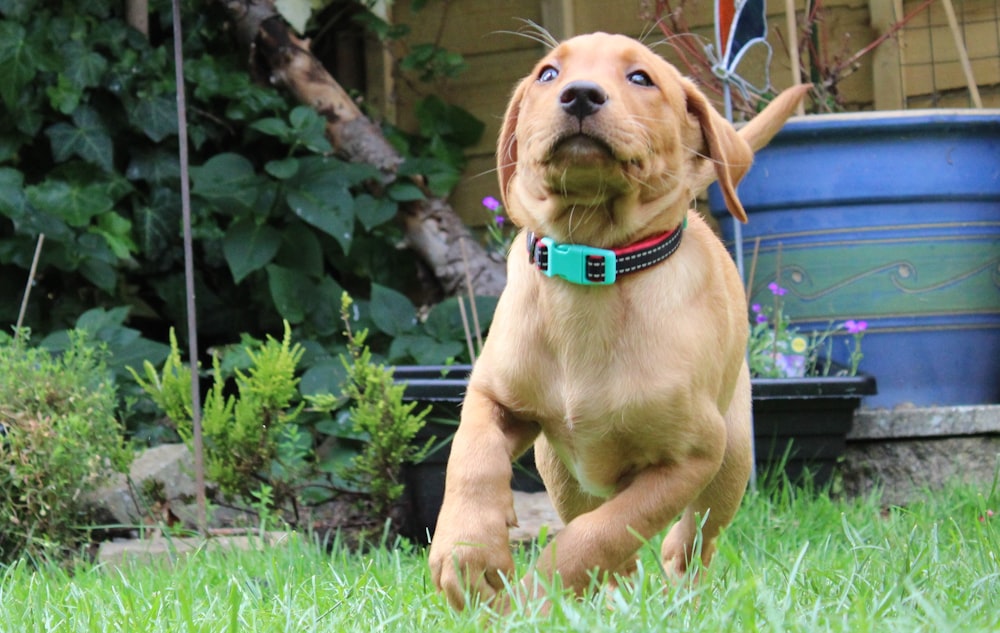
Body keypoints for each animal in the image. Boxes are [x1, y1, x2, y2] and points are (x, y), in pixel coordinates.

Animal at [426, 32, 808, 608]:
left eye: (641, 78)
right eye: (547, 74)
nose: (580, 95)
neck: (594, 264)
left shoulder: (691, 456)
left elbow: (602, 533)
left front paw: (537, 598)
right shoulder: (494, 394)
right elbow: (470, 458)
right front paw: (468, 553)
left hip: (732, 460)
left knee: (692, 538)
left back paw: (680, 592)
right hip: (561, 472)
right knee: (604, 533)